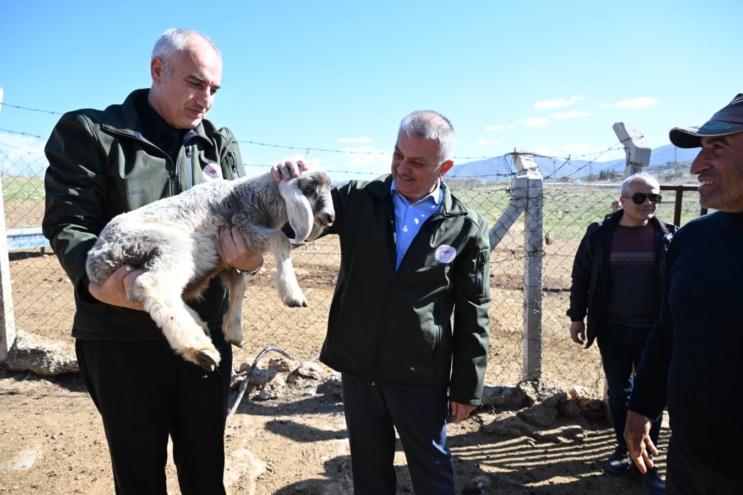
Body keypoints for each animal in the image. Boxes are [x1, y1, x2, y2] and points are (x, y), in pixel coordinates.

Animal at [85, 168, 338, 372]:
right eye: (310, 189)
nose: (330, 217)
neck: (249, 196)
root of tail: (96, 262)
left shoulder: (229, 256)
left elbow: (240, 284)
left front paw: (234, 332)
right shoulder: (244, 227)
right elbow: (282, 240)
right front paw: (293, 294)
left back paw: (199, 325)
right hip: (171, 246)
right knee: (152, 286)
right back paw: (200, 349)